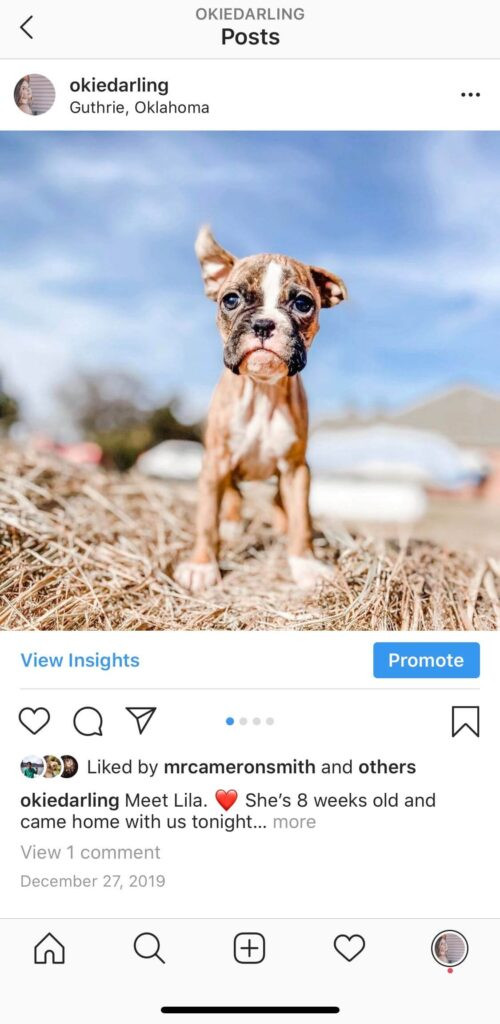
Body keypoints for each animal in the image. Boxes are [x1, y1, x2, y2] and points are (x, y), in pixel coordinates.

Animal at [176, 224, 348, 593]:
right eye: (230, 300)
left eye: (302, 303)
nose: (264, 324)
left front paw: (305, 564)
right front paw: (201, 565)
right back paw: (231, 525)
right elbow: (206, 521)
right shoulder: (215, 461)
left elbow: (301, 521)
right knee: (232, 499)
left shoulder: (296, 470)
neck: (262, 392)